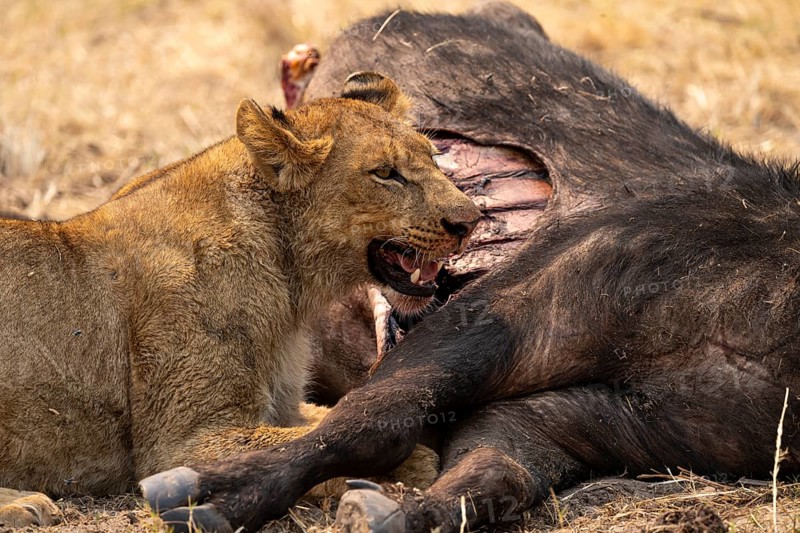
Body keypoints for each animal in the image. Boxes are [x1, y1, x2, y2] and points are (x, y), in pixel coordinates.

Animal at [0, 72, 481, 528]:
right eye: (384, 173)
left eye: (433, 158)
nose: (470, 221)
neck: (291, 277)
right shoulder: (182, 445)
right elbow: (327, 444)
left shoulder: (285, 406)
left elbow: (330, 418)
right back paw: (24, 502)